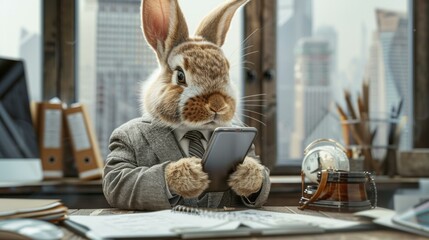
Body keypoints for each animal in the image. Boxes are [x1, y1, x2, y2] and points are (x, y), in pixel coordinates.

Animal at [102, 0, 270, 210]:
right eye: (180, 75)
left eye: (227, 72)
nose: (217, 104)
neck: (192, 128)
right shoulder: (120, 152)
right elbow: (121, 177)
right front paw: (189, 173)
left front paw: (246, 173)